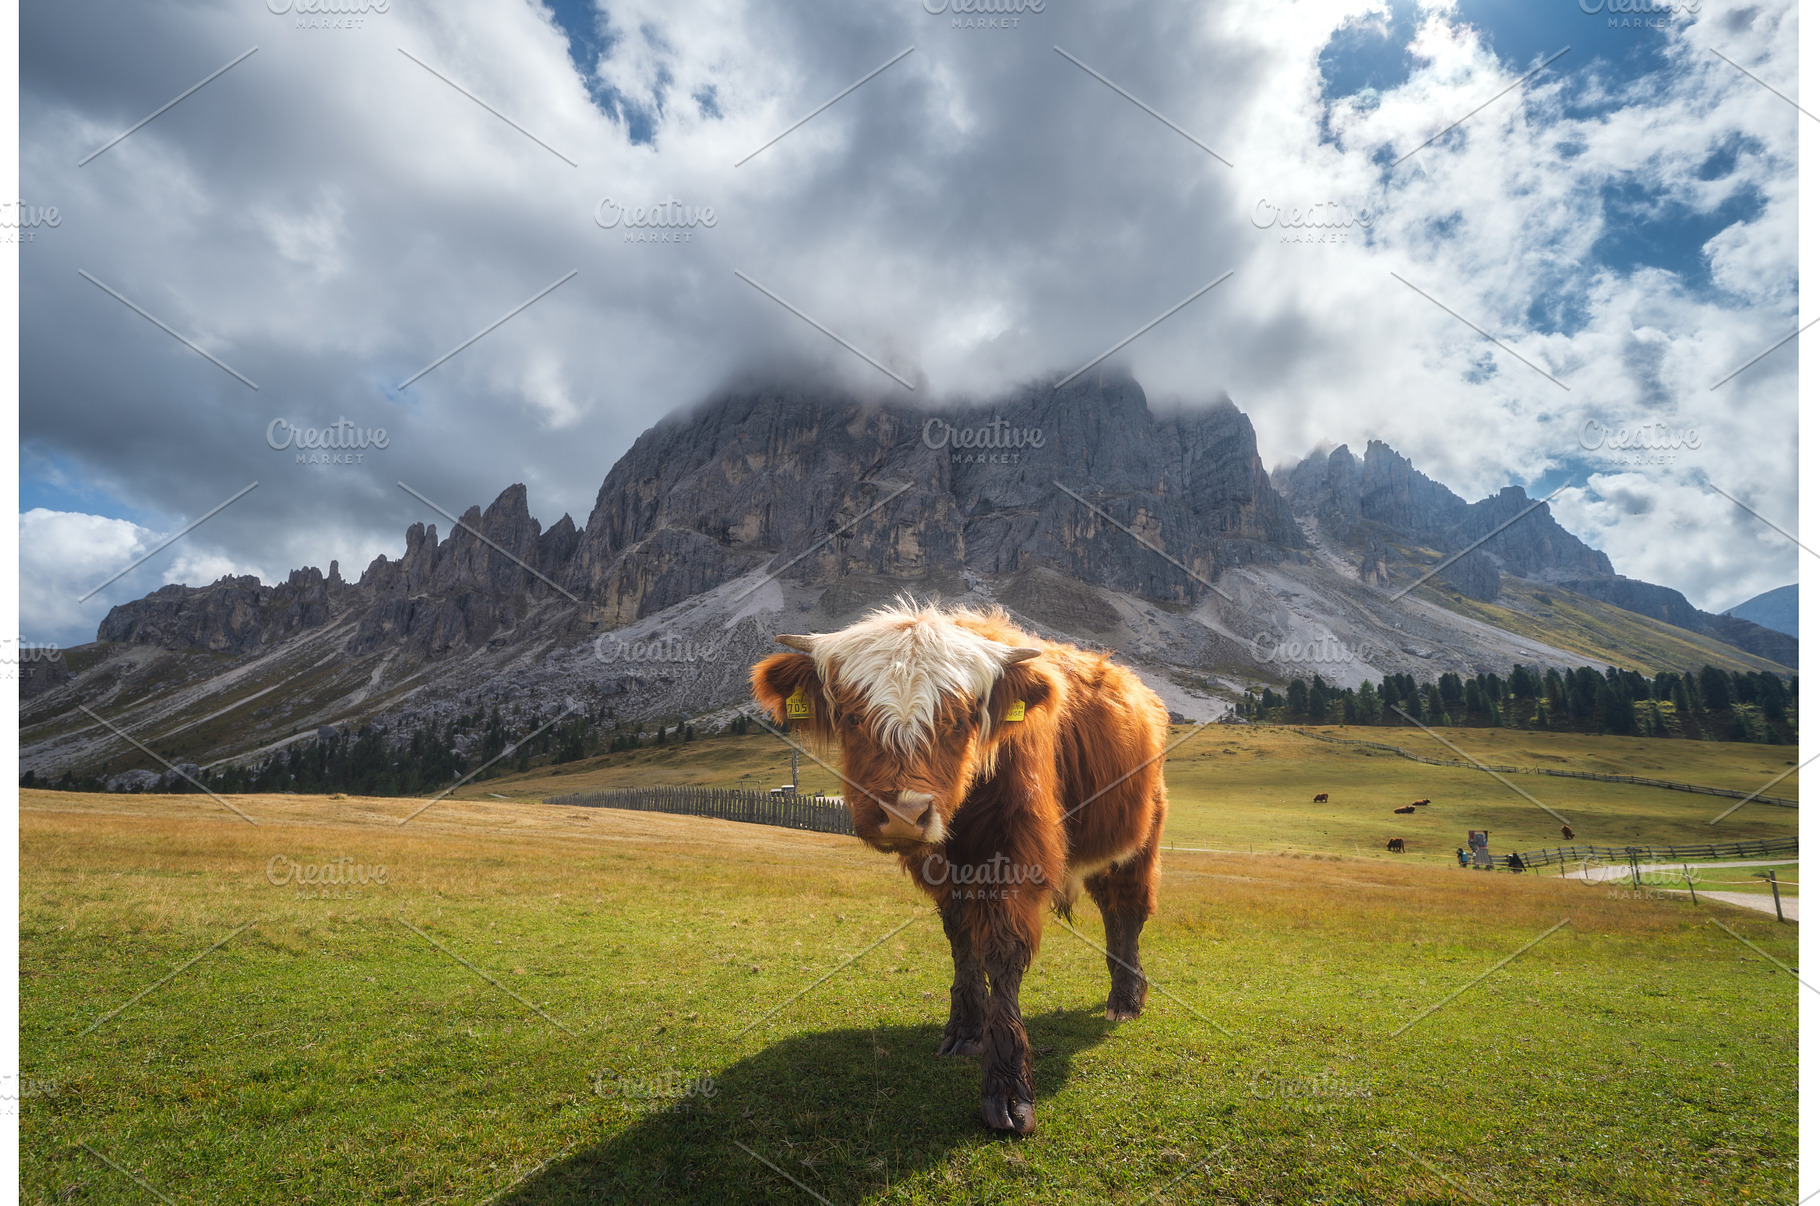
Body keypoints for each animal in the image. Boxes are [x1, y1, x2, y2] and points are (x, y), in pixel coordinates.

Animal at [752, 602, 1169, 1136]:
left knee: (1127, 912)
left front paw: (1008, 1090)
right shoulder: (945, 869)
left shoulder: (1018, 853)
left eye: (963, 719)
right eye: (850, 715)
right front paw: (967, 1032)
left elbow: (1004, 950)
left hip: (1139, 841)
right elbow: (962, 941)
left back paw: (1125, 1001)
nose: (903, 813)